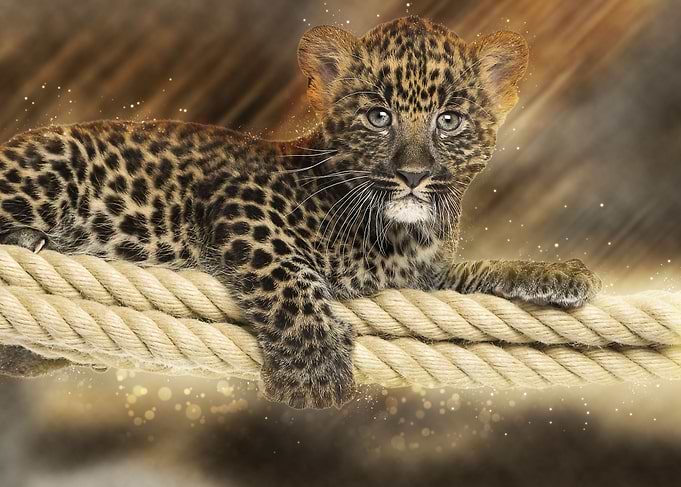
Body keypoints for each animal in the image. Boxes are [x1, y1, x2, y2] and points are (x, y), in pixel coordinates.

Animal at [0, 16, 601, 409]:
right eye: (379, 117)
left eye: (448, 121)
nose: (413, 174)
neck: (399, 235)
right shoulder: (241, 198)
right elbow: (285, 270)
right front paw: (314, 366)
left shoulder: (420, 276)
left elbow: (474, 272)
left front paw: (560, 275)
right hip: (58, 163)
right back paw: (31, 241)